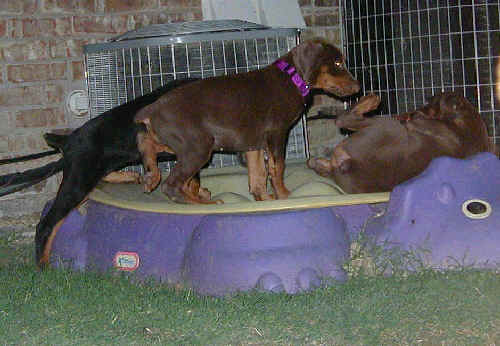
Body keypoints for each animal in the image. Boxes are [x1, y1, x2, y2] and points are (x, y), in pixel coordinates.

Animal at [133, 39, 360, 204]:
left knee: (148, 143)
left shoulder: (253, 143)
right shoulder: (277, 133)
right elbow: (278, 167)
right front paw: (284, 195)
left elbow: (258, 175)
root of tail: (153, 108)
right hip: (197, 146)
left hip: (178, 142)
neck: (291, 77)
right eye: (337, 63)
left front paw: (265, 198)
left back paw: (151, 175)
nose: (358, 87)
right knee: (172, 185)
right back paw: (205, 203)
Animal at [306, 92, 494, 193]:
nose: (429, 96)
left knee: (344, 119)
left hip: (383, 125)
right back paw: (317, 162)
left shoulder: (422, 122)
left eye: (433, 101)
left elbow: (416, 119)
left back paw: (370, 100)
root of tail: (350, 165)